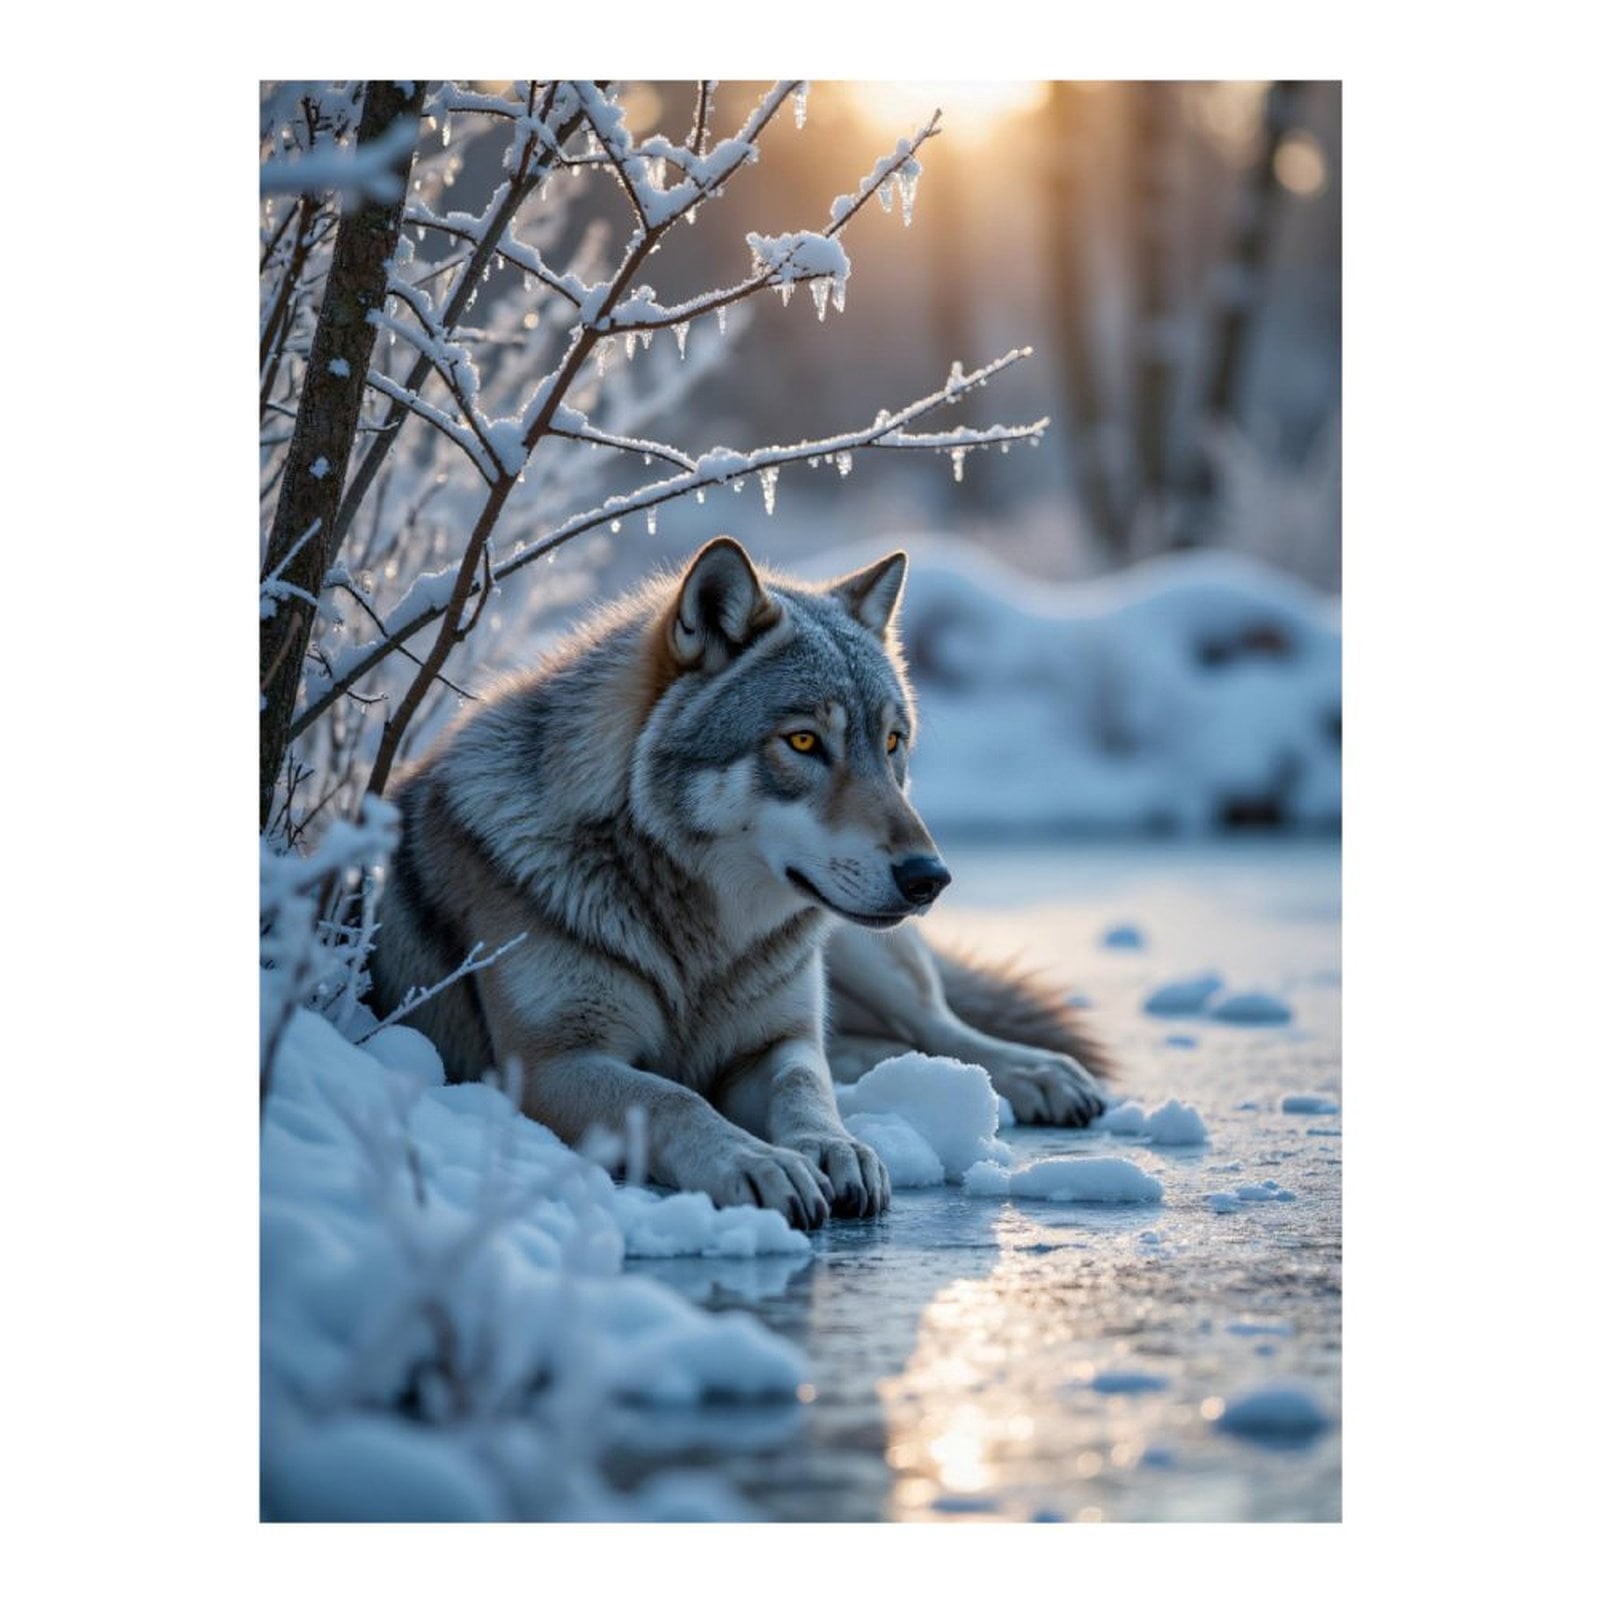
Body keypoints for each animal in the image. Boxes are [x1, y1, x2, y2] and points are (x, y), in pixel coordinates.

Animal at [370, 538, 1111, 1227]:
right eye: (804, 742)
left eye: (892, 743)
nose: (930, 877)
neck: (701, 944)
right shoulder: (551, 1064)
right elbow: (673, 1097)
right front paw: (756, 1162)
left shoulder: (775, 1042)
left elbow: (805, 1088)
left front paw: (834, 1148)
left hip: (860, 953)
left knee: (933, 1025)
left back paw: (1038, 1073)